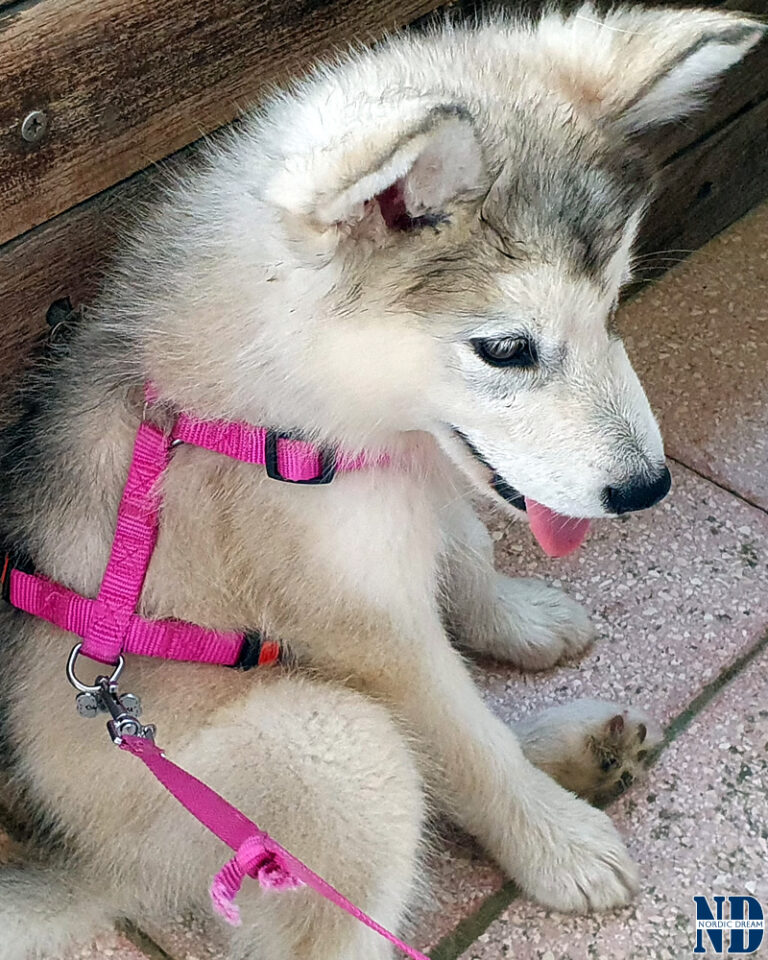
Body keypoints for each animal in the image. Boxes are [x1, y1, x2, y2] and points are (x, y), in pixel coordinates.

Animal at [0, 3, 760, 956]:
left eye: (614, 305)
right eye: (506, 349)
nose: (648, 488)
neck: (310, 412)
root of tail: (91, 865)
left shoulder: (414, 481)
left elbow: (464, 549)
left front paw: (515, 618)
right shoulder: (362, 621)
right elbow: (463, 742)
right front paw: (552, 844)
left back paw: (582, 749)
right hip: (332, 750)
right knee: (398, 785)